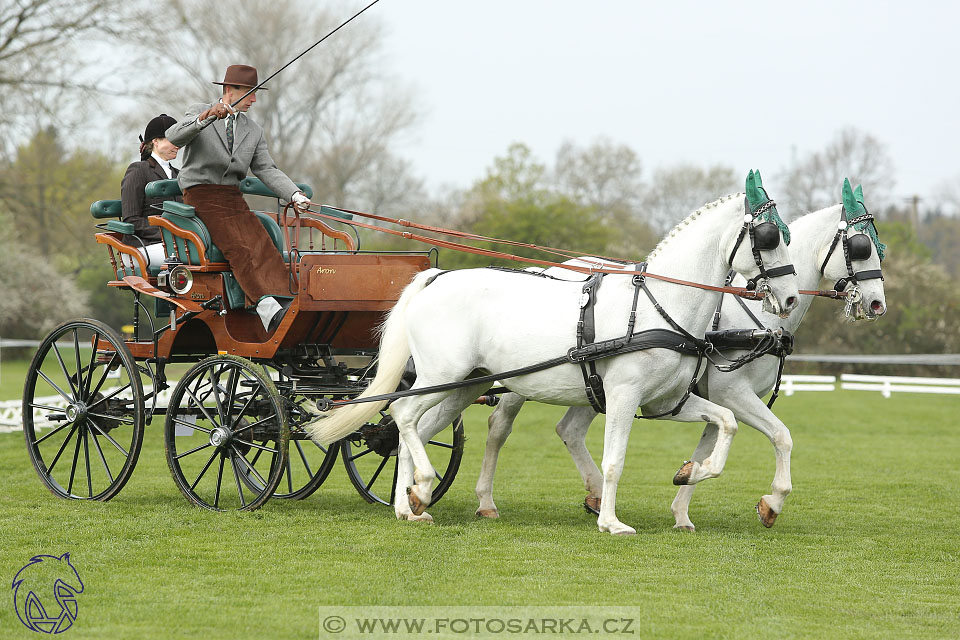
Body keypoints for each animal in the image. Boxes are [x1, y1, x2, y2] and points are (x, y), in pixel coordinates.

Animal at [312, 171, 800, 536]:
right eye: (768, 236)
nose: (792, 298)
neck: (660, 304)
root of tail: (436, 278)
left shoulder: (666, 402)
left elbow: (727, 422)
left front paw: (691, 472)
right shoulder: (623, 397)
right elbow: (614, 461)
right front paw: (611, 522)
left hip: (463, 386)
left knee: (412, 429)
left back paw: (411, 502)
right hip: (438, 376)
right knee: (403, 415)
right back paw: (420, 490)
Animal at [476, 179, 888, 528]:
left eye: (877, 246)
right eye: (861, 247)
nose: (877, 303)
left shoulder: (707, 398)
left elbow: (715, 439)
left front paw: (684, 500)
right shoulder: (731, 392)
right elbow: (781, 436)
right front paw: (771, 503)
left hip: (589, 385)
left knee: (569, 431)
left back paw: (594, 495)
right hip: (524, 381)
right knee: (499, 427)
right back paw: (487, 501)